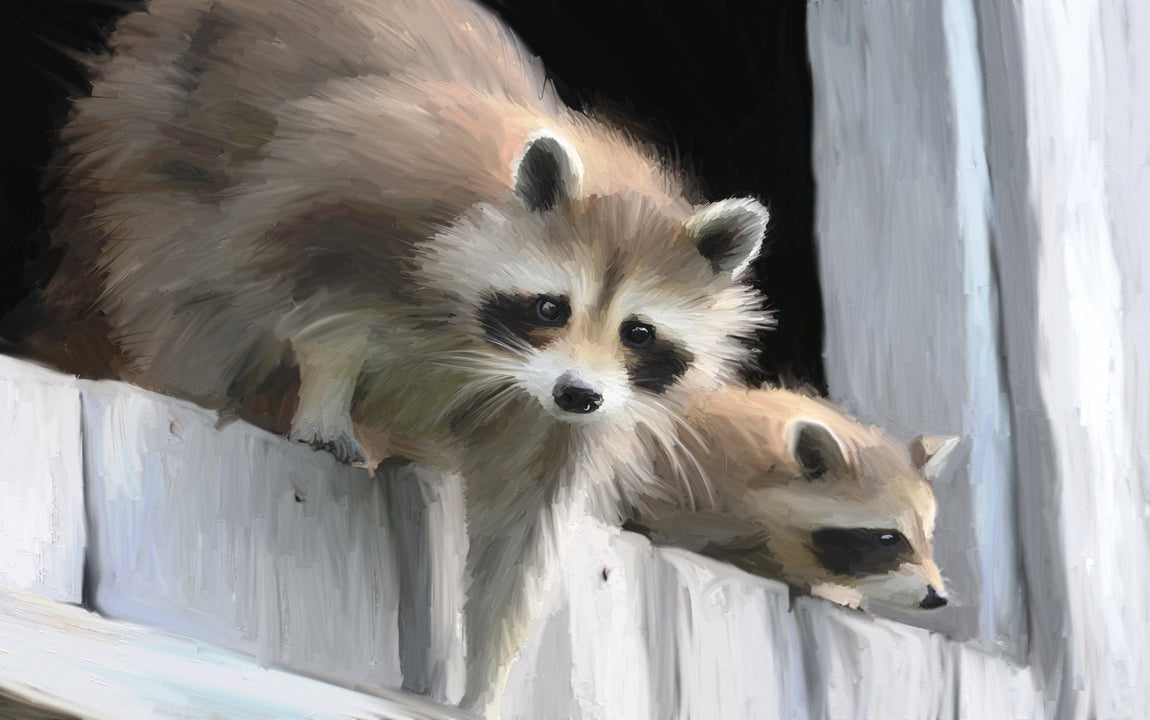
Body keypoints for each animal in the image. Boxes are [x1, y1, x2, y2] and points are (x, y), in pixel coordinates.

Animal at [31, 0, 773, 715]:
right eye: (550, 308)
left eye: (638, 333)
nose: (577, 393)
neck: (491, 351)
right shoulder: (357, 195)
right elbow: (321, 306)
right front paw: (327, 391)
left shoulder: (558, 416)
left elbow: (521, 528)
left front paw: (486, 679)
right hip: (145, 169)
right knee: (187, 311)